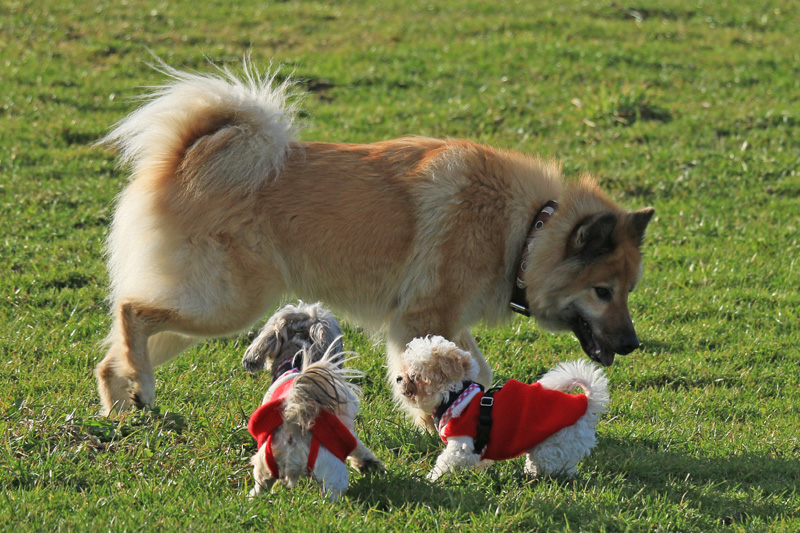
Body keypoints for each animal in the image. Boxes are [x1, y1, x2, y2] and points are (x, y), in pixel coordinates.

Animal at [95, 62, 656, 416]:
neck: (527, 233)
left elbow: (476, 366)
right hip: (231, 303)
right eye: (602, 291)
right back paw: (140, 389)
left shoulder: (445, 318)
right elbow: (434, 376)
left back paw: (125, 404)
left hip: (209, 307)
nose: (631, 345)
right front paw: (438, 422)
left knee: (115, 350)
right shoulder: (419, 318)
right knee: (131, 311)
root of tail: (180, 161)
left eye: (628, 291)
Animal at [248, 344, 382, 498]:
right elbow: (359, 450)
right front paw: (369, 465)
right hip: (333, 473)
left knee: (260, 486)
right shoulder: (346, 433)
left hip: (264, 466)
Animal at [394, 336, 608, 482]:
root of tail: (586, 402)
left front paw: (430, 479)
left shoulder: (462, 444)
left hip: (555, 443)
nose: (398, 378)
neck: (455, 396)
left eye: (416, 375)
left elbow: (445, 463)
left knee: (554, 466)